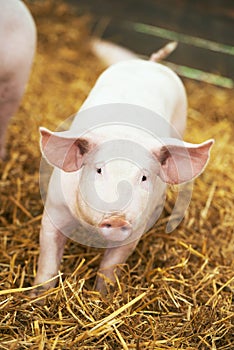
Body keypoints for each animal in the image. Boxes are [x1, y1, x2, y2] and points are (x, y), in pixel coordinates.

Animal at [33, 41, 214, 294]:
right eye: (99, 170)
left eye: (144, 177)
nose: (118, 218)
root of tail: (150, 63)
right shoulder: (54, 209)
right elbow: (48, 259)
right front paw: (37, 296)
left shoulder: (134, 231)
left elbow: (111, 266)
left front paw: (102, 295)